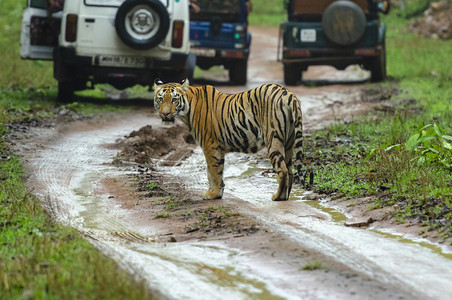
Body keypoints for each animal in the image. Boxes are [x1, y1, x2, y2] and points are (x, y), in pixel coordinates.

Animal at [153, 79, 304, 202]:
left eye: (174, 99)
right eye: (160, 99)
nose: (165, 114)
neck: (187, 111)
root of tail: (288, 94)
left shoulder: (210, 145)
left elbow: (214, 171)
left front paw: (213, 194)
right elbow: (211, 172)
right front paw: (215, 192)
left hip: (273, 138)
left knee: (283, 170)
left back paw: (278, 197)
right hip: (288, 142)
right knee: (290, 170)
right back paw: (285, 196)